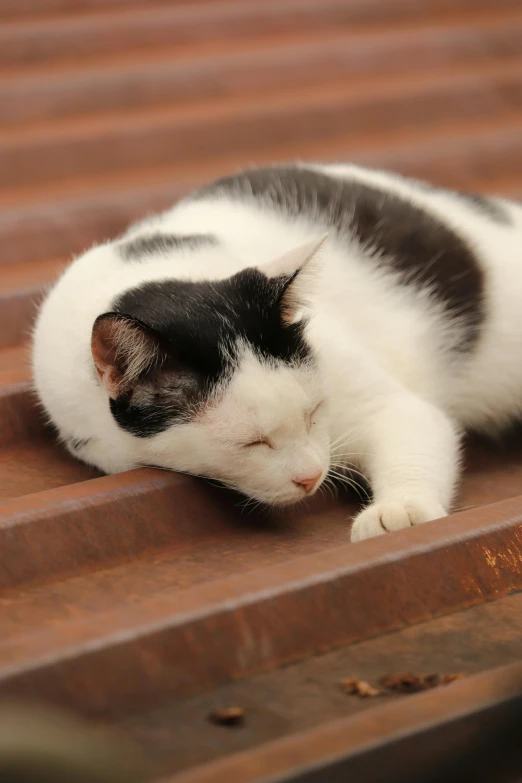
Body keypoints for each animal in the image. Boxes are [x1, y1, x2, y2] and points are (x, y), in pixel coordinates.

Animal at [31, 162, 520, 544]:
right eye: (252, 442)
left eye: (314, 413)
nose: (312, 476)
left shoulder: (381, 400)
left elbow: (411, 423)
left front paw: (401, 510)